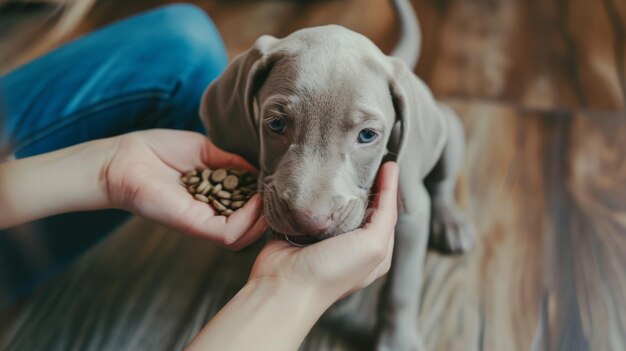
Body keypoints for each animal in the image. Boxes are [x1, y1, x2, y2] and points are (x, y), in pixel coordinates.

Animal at [200, 1, 472, 350]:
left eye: (367, 135)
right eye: (275, 124)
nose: (309, 220)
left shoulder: (412, 210)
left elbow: (402, 286)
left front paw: (397, 340)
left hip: (446, 128)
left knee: (442, 182)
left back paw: (451, 222)